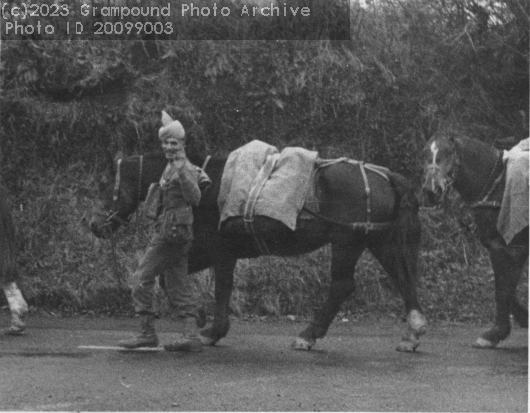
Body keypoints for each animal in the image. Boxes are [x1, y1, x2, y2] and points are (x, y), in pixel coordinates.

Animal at [89, 150, 424, 350]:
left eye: (105, 183)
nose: (94, 224)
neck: (198, 186)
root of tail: (386, 176)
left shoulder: (219, 251)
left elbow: (219, 288)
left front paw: (209, 326)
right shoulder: (208, 251)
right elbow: (172, 280)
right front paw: (202, 319)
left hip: (347, 243)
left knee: (342, 285)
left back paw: (308, 335)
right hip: (378, 241)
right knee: (403, 279)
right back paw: (412, 333)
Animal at [422, 133, 524, 348]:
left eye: (448, 153)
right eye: (425, 154)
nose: (431, 190)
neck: (498, 188)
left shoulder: (513, 249)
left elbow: (503, 291)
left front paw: (494, 334)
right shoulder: (497, 248)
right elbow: (505, 289)